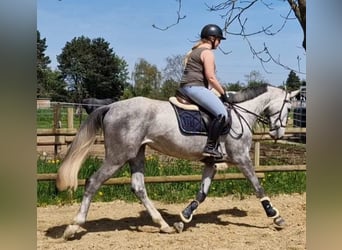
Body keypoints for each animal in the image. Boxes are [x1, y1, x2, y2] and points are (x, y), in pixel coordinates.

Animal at [55, 84, 300, 240]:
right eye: (289, 107)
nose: (278, 133)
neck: (240, 116)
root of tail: (111, 106)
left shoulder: (211, 163)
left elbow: (202, 194)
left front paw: (183, 218)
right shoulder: (241, 158)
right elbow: (258, 186)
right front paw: (276, 216)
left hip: (137, 154)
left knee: (138, 187)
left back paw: (163, 225)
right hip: (118, 155)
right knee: (93, 182)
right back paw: (73, 227)